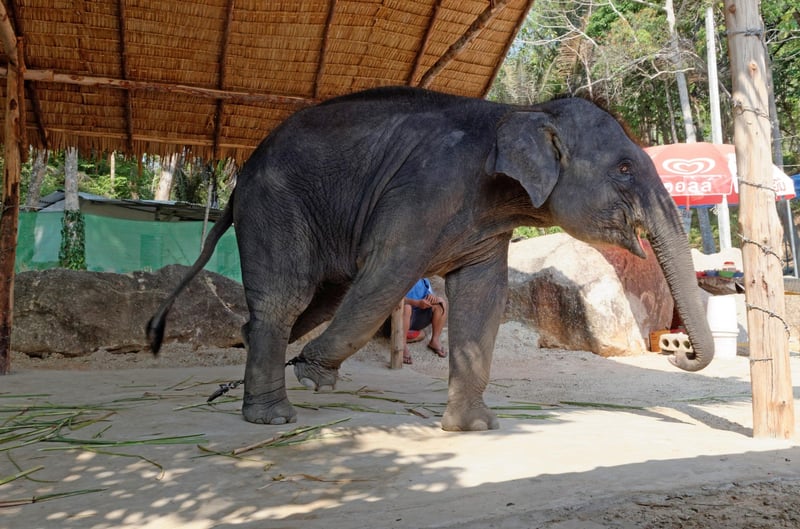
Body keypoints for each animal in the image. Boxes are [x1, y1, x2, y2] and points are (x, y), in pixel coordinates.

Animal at [147, 85, 716, 428]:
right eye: (624, 168)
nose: (679, 349)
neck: (520, 111)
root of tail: (240, 180)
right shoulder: (423, 192)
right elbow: (389, 274)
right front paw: (312, 373)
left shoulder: (486, 226)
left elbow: (484, 298)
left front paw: (474, 428)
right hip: (276, 207)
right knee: (287, 299)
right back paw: (274, 418)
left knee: (315, 301)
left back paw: (256, 384)